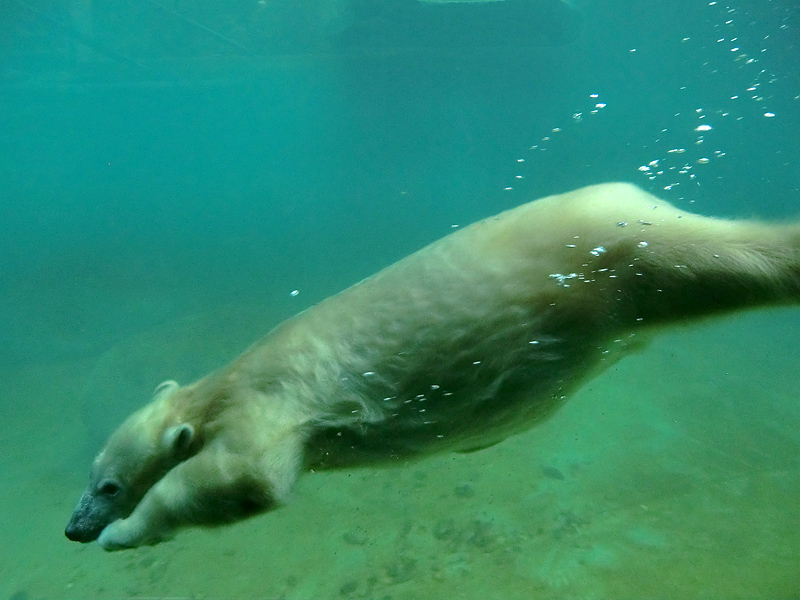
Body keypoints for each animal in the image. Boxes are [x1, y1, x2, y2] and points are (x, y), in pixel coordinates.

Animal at [64, 184, 800, 552]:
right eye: (92, 473)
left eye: (107, 485)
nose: (74, 527)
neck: (219, 386)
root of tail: (641, 200)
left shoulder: (267, 400)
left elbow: (241, 478)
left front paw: (124, 536)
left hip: (605, 261)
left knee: (721, 261)